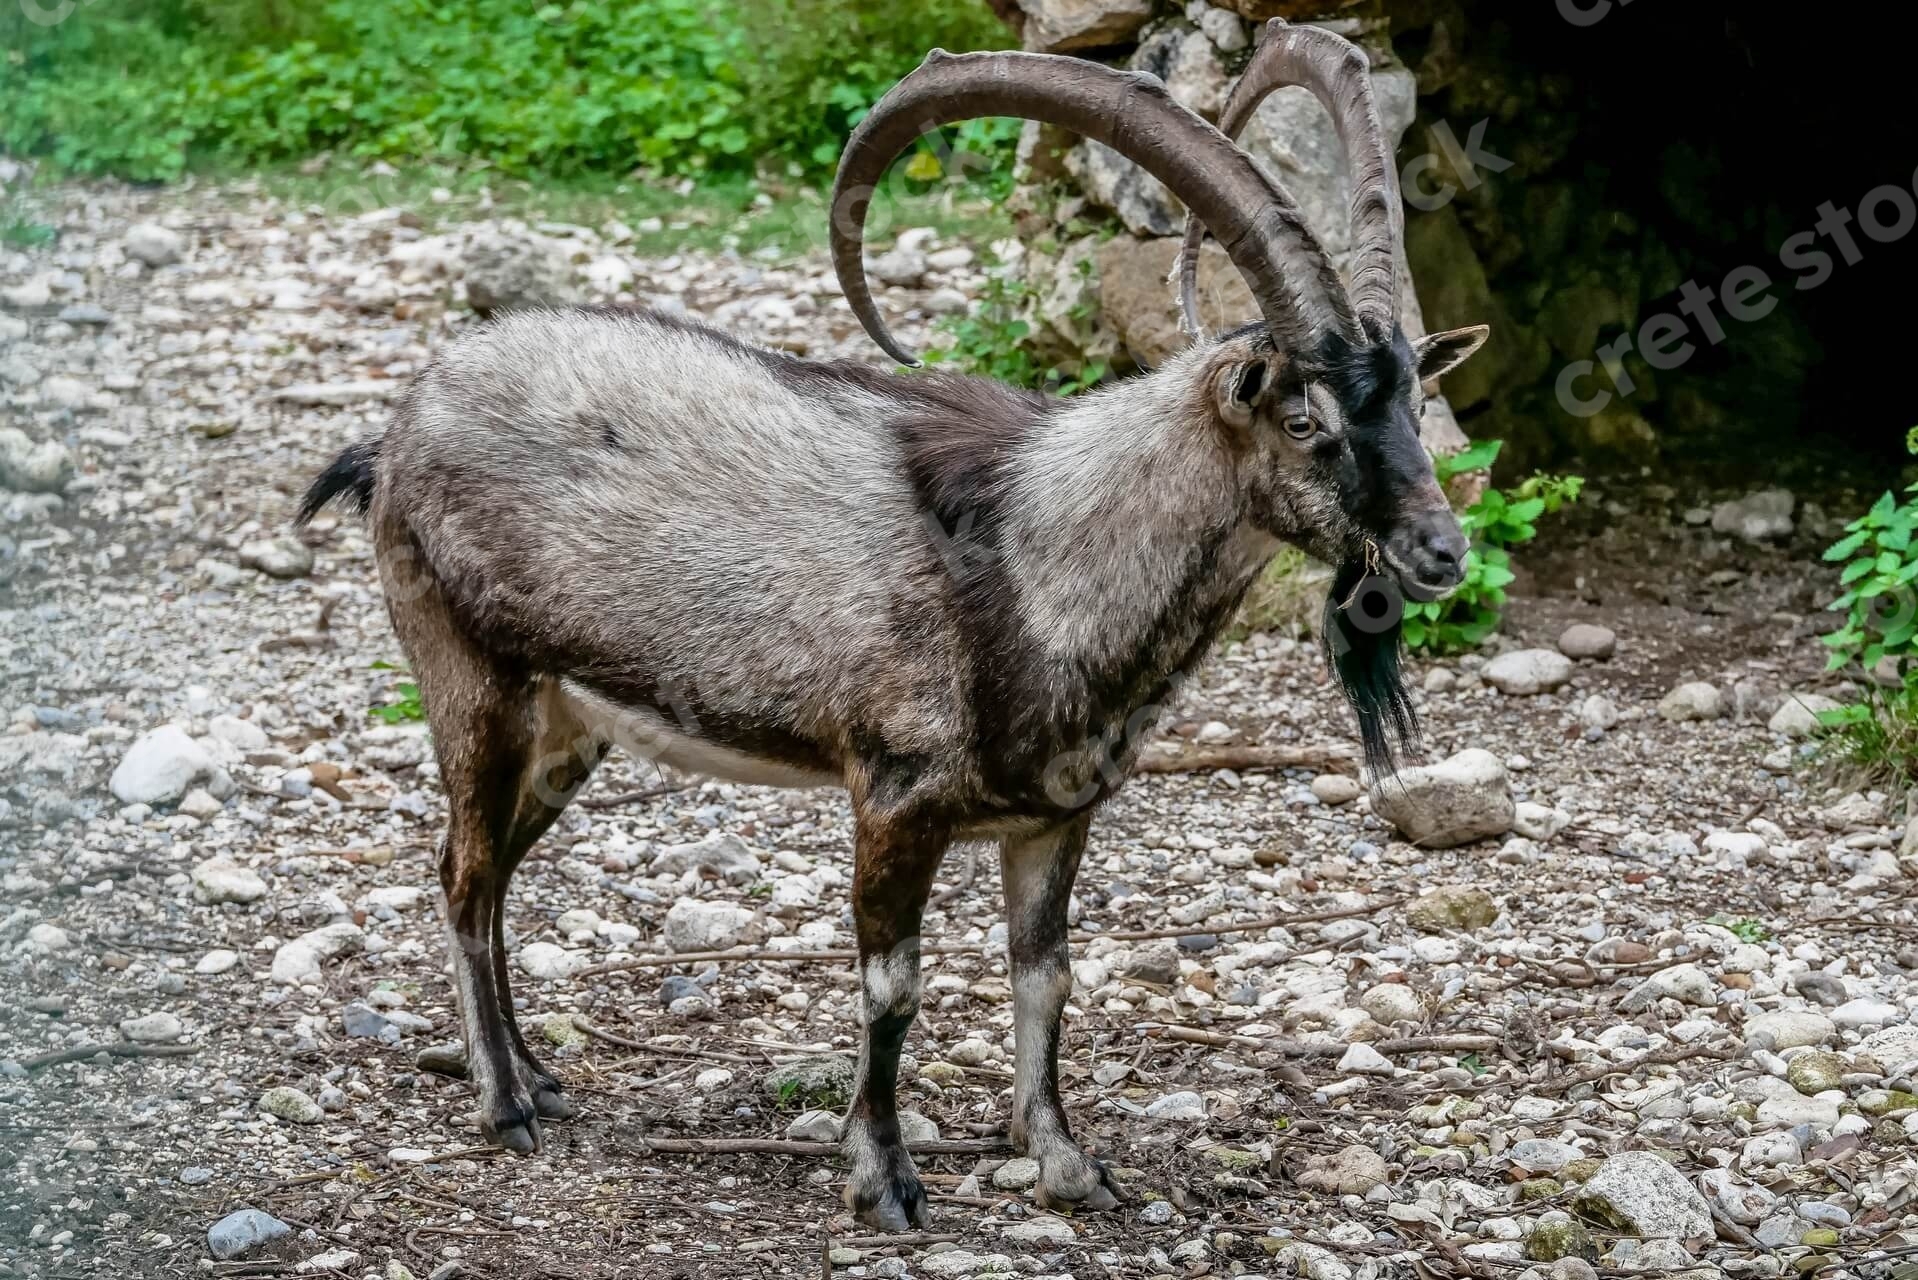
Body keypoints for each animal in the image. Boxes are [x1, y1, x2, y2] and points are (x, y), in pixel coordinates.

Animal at [299, 22, 1488, 1228]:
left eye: (1411, 400)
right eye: (1304, 418)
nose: (1441, 553)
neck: (1037, 555)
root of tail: (395, 434)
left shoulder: (1051, 818)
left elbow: (1045, 975)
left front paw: (1066, 1162)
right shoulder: (894, 793)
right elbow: (892, 986)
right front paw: (885, 1179)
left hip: (568, 726)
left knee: (493, 871)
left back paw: (538, 1073)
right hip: (470, 677)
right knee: (463, 870)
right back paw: (505, 1103)